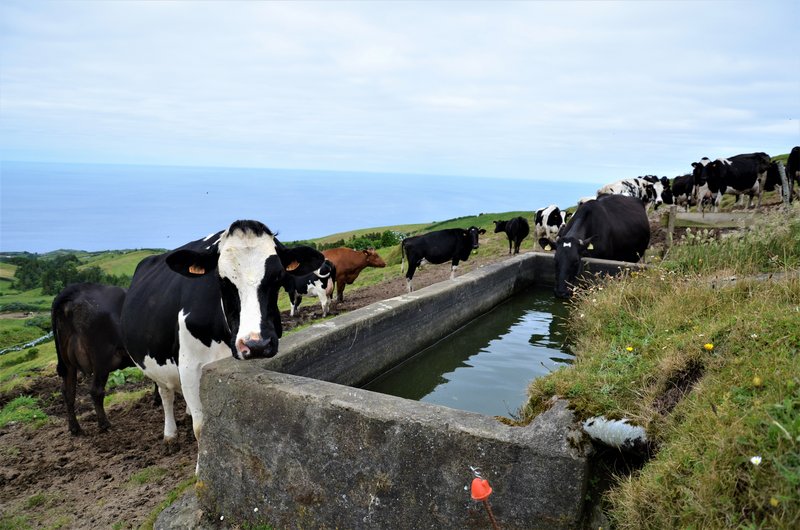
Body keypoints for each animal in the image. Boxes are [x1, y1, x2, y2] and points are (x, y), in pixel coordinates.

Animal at [118, 219, 322, 454]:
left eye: (278, 277)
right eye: (222, 280)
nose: (257, 344)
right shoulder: (189, 366)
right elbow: (200, 428)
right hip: (154, 363)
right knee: (165, 393)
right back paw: (170, 434)